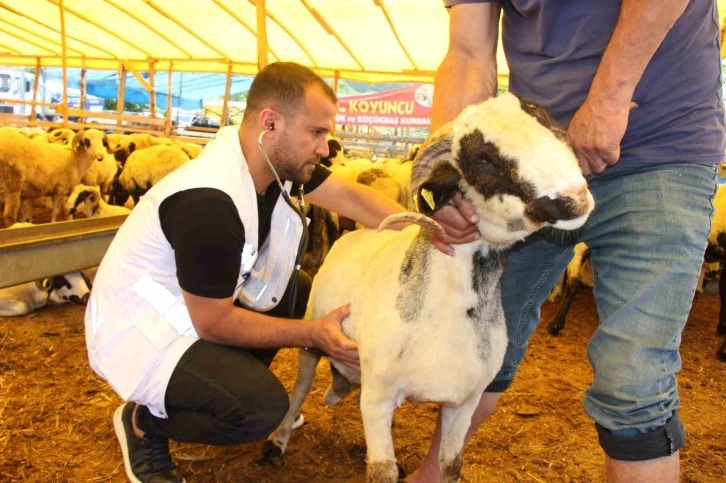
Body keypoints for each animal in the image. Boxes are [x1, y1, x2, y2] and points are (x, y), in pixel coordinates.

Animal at [264, 92, 596, 482]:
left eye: (552, 128)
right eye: (482, 160)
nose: (574, 199)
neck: (446, 307)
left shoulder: (463, 404)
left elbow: (450, 466)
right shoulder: (378, 397)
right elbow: (382, 471)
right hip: (312, 338)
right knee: (300, 387)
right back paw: (277, 441)